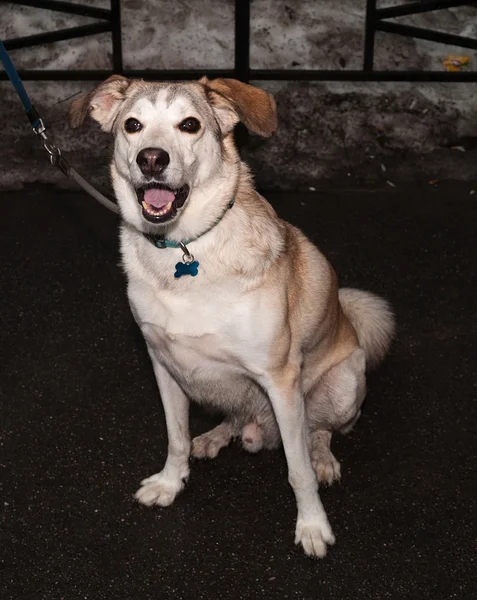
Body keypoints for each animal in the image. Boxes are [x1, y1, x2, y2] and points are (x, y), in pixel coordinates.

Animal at [68, 75, 394, 556]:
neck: (185, 249)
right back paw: (215, 436)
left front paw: (312, 526)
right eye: (132, 125)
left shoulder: (280, 380)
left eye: (190, 124)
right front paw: (170, 483)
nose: (152, 159)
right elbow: (175, 437)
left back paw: (322, 457)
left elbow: (297, 471)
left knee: (321, 430)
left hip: (345, 382)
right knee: (236, 416)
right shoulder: (163, 365)